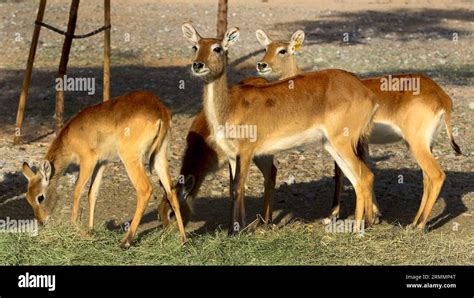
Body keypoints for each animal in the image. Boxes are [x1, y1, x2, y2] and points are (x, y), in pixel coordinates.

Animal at [21, 90, 187, 247]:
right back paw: (183, 240)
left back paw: (126, 241)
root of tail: (159, 110)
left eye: (40, 197)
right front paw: (90, 230)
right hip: (160, 155)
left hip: (131, 158)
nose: (41, 222)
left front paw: (74, 228)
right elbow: (92, 193)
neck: (69, 136)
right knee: (171, 191)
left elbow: (77, 191)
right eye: (27, 198)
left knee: (145, 189)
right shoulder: (101, 163)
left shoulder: (88, 161)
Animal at [180, 22, 380, 235]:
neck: (230, 107)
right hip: (332, 145)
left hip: (343, 142)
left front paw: (236, 231)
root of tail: (368, 93)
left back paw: (359, 228)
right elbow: (233, 188)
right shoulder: (233, 155)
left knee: (366, 175)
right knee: (356, 178)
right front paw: (233, 229)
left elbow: (239, 187)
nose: (197, 65)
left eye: (217, 48)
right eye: (195, 47)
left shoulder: (246, 151)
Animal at [254, 29, 462, 228]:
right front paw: (375, 214)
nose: (262, 65)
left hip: (416, 143)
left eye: (282, 50)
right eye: (265, 48)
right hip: (424, 144)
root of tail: (442, 96)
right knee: (427, 178)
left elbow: (341, 174)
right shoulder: (362, 143)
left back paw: (419, 225)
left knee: (436, 175)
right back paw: (414, 221)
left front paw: (333, 215)